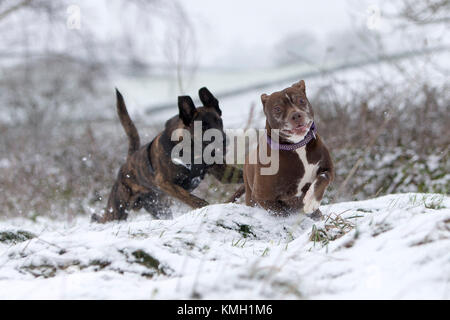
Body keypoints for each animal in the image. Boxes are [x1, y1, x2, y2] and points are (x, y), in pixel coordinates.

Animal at [92, 87, 244, 222]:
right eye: (203, 126)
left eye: (219, 121)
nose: (225, 141)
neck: (193, 151)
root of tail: (129, 160)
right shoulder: (164, 182)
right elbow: (191, 198)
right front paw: (205, 207)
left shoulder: (221, 172)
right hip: (117, 210)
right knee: (103, 219)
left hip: (159, 209)